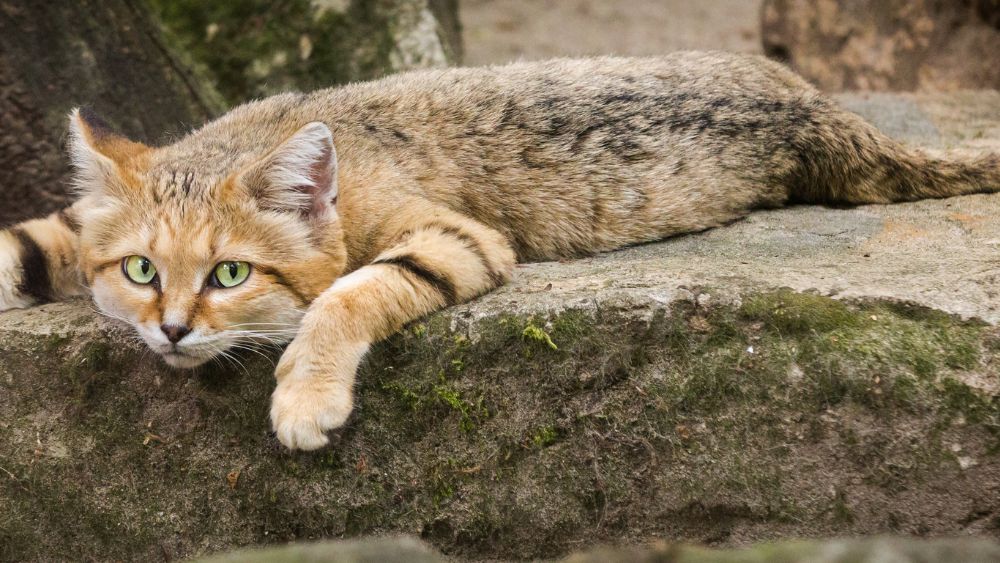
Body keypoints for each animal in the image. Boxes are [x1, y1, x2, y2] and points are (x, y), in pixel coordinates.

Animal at [0, 51, 996, 450]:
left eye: (231, 274)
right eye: (141, 270)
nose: (170, 330)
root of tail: (815, 102)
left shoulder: (456, 238)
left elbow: (348, 293)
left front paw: (306, 394)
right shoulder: (71, 227)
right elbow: (28, 237)